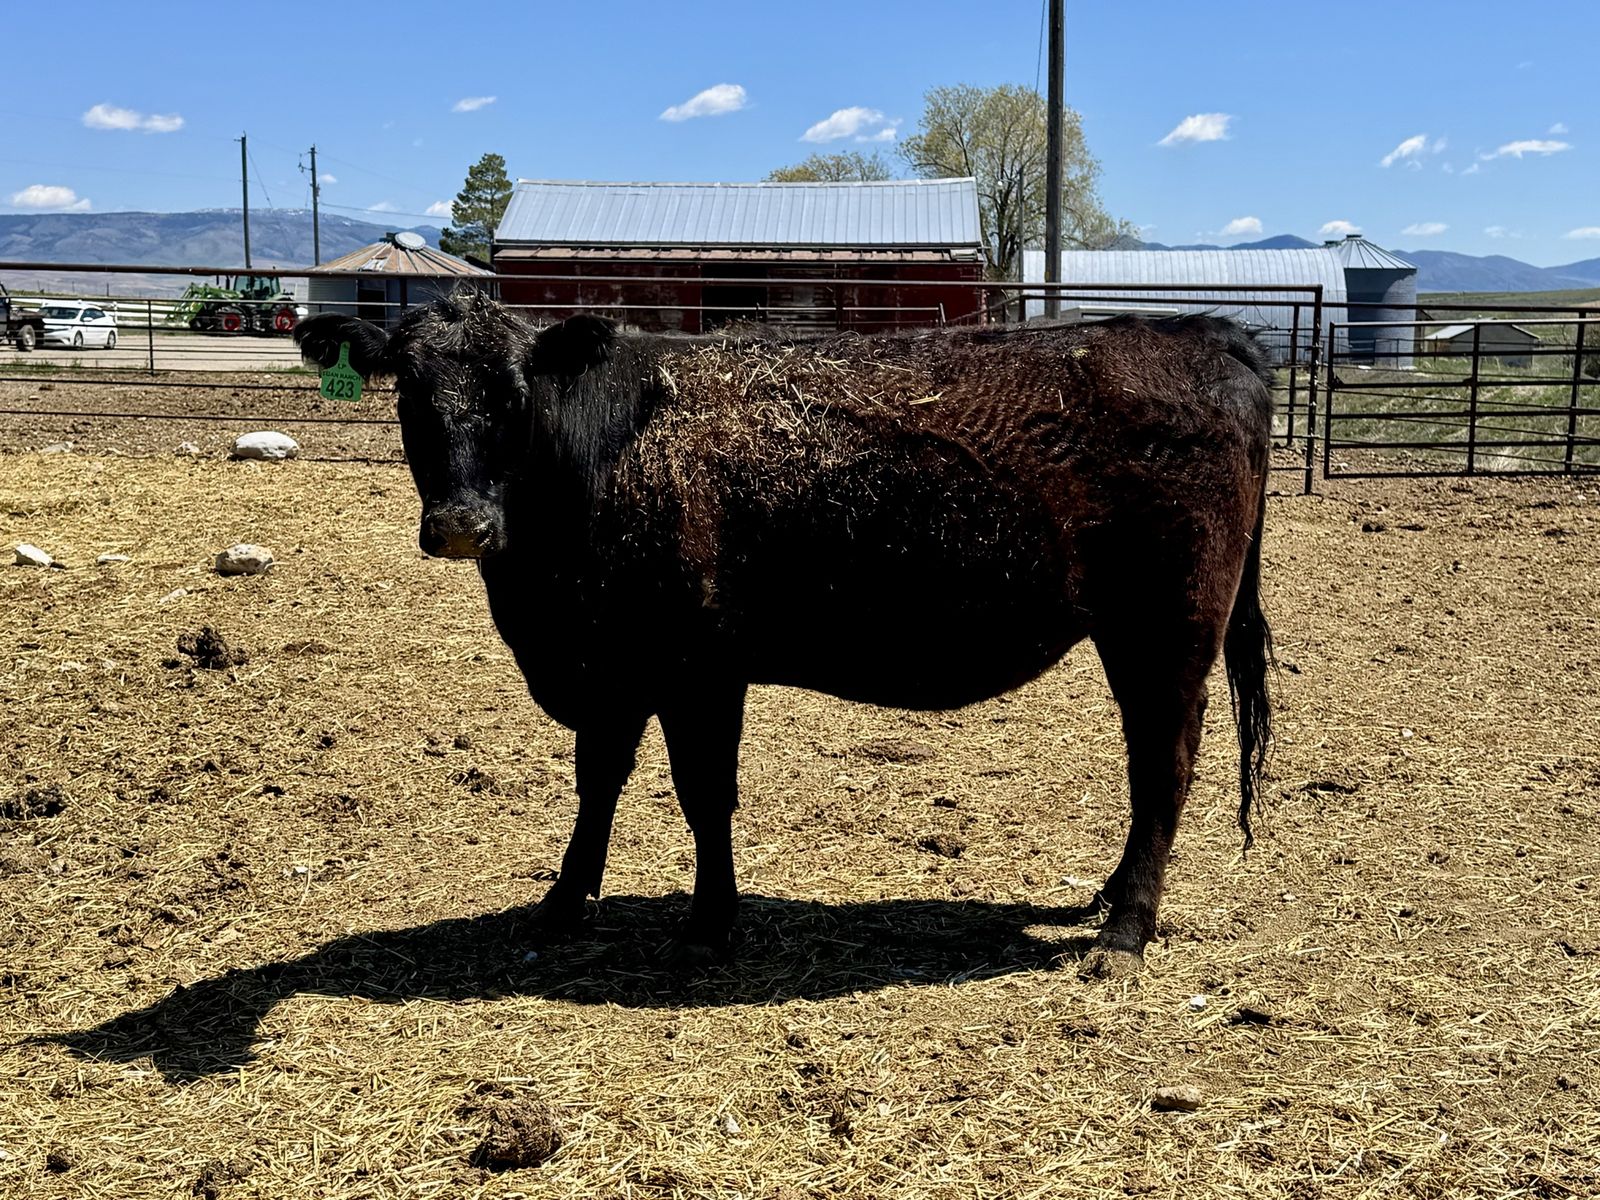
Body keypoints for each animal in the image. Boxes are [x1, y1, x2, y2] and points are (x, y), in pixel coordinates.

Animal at [295, 290, 1274, 976]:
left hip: (1170, 631)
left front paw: (707, 924)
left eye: (513, 395)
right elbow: (598, 783)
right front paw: (565, 902)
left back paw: (1125, 932)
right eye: (410, 393)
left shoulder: (697, 667)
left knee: (1164, 768)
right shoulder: (615, 667)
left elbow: (703, 795)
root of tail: (1203, 334)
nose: (463, 523)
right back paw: (1108, 898)